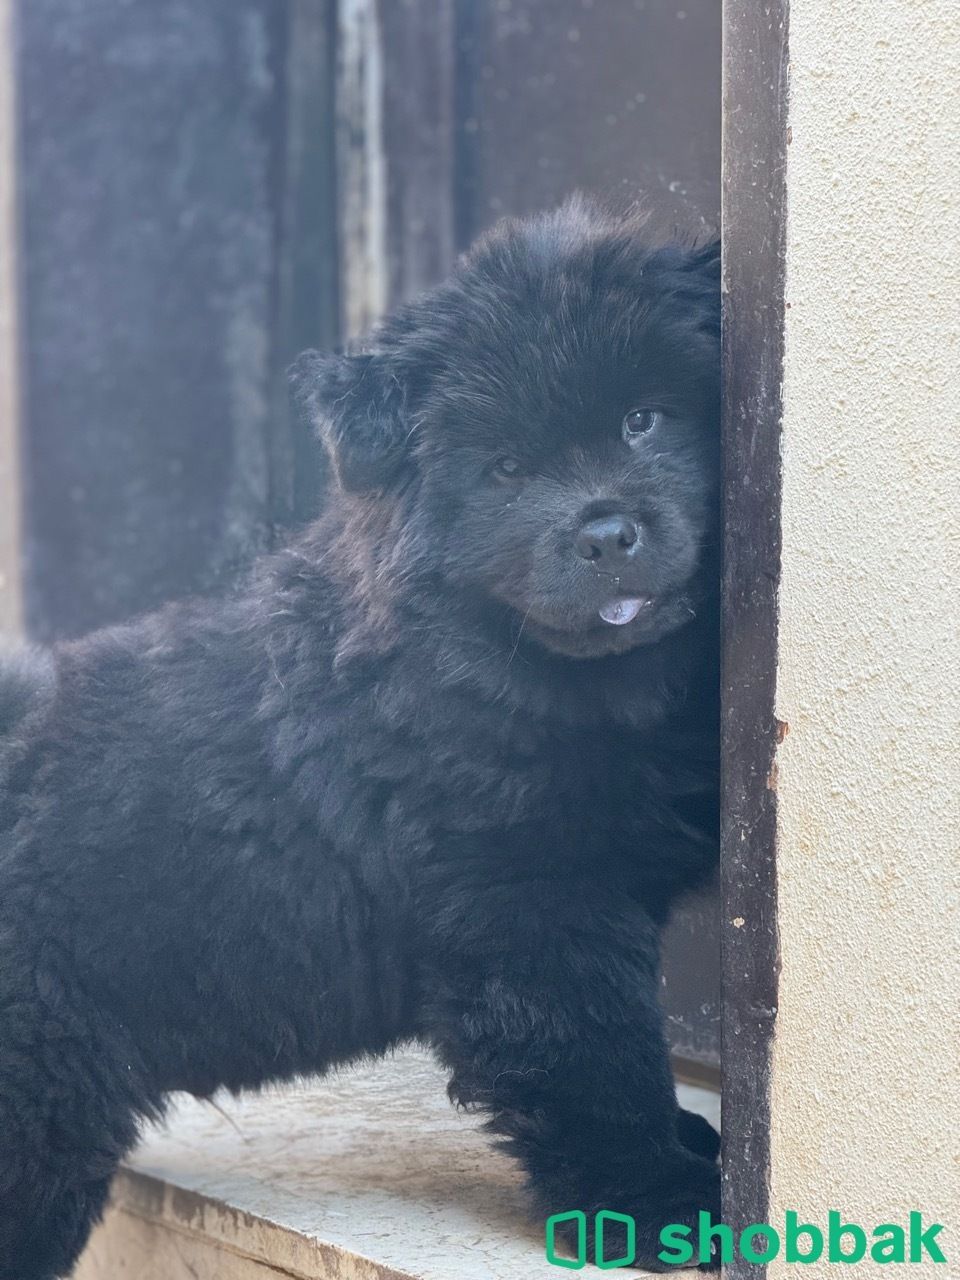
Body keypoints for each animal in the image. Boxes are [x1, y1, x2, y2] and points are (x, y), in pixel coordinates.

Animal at [0, 199, 721, 1269]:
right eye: (506, 469)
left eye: (644, 418)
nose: (604, 532)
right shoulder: (536, 910)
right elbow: (603, 1060)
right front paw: (663, 1204)